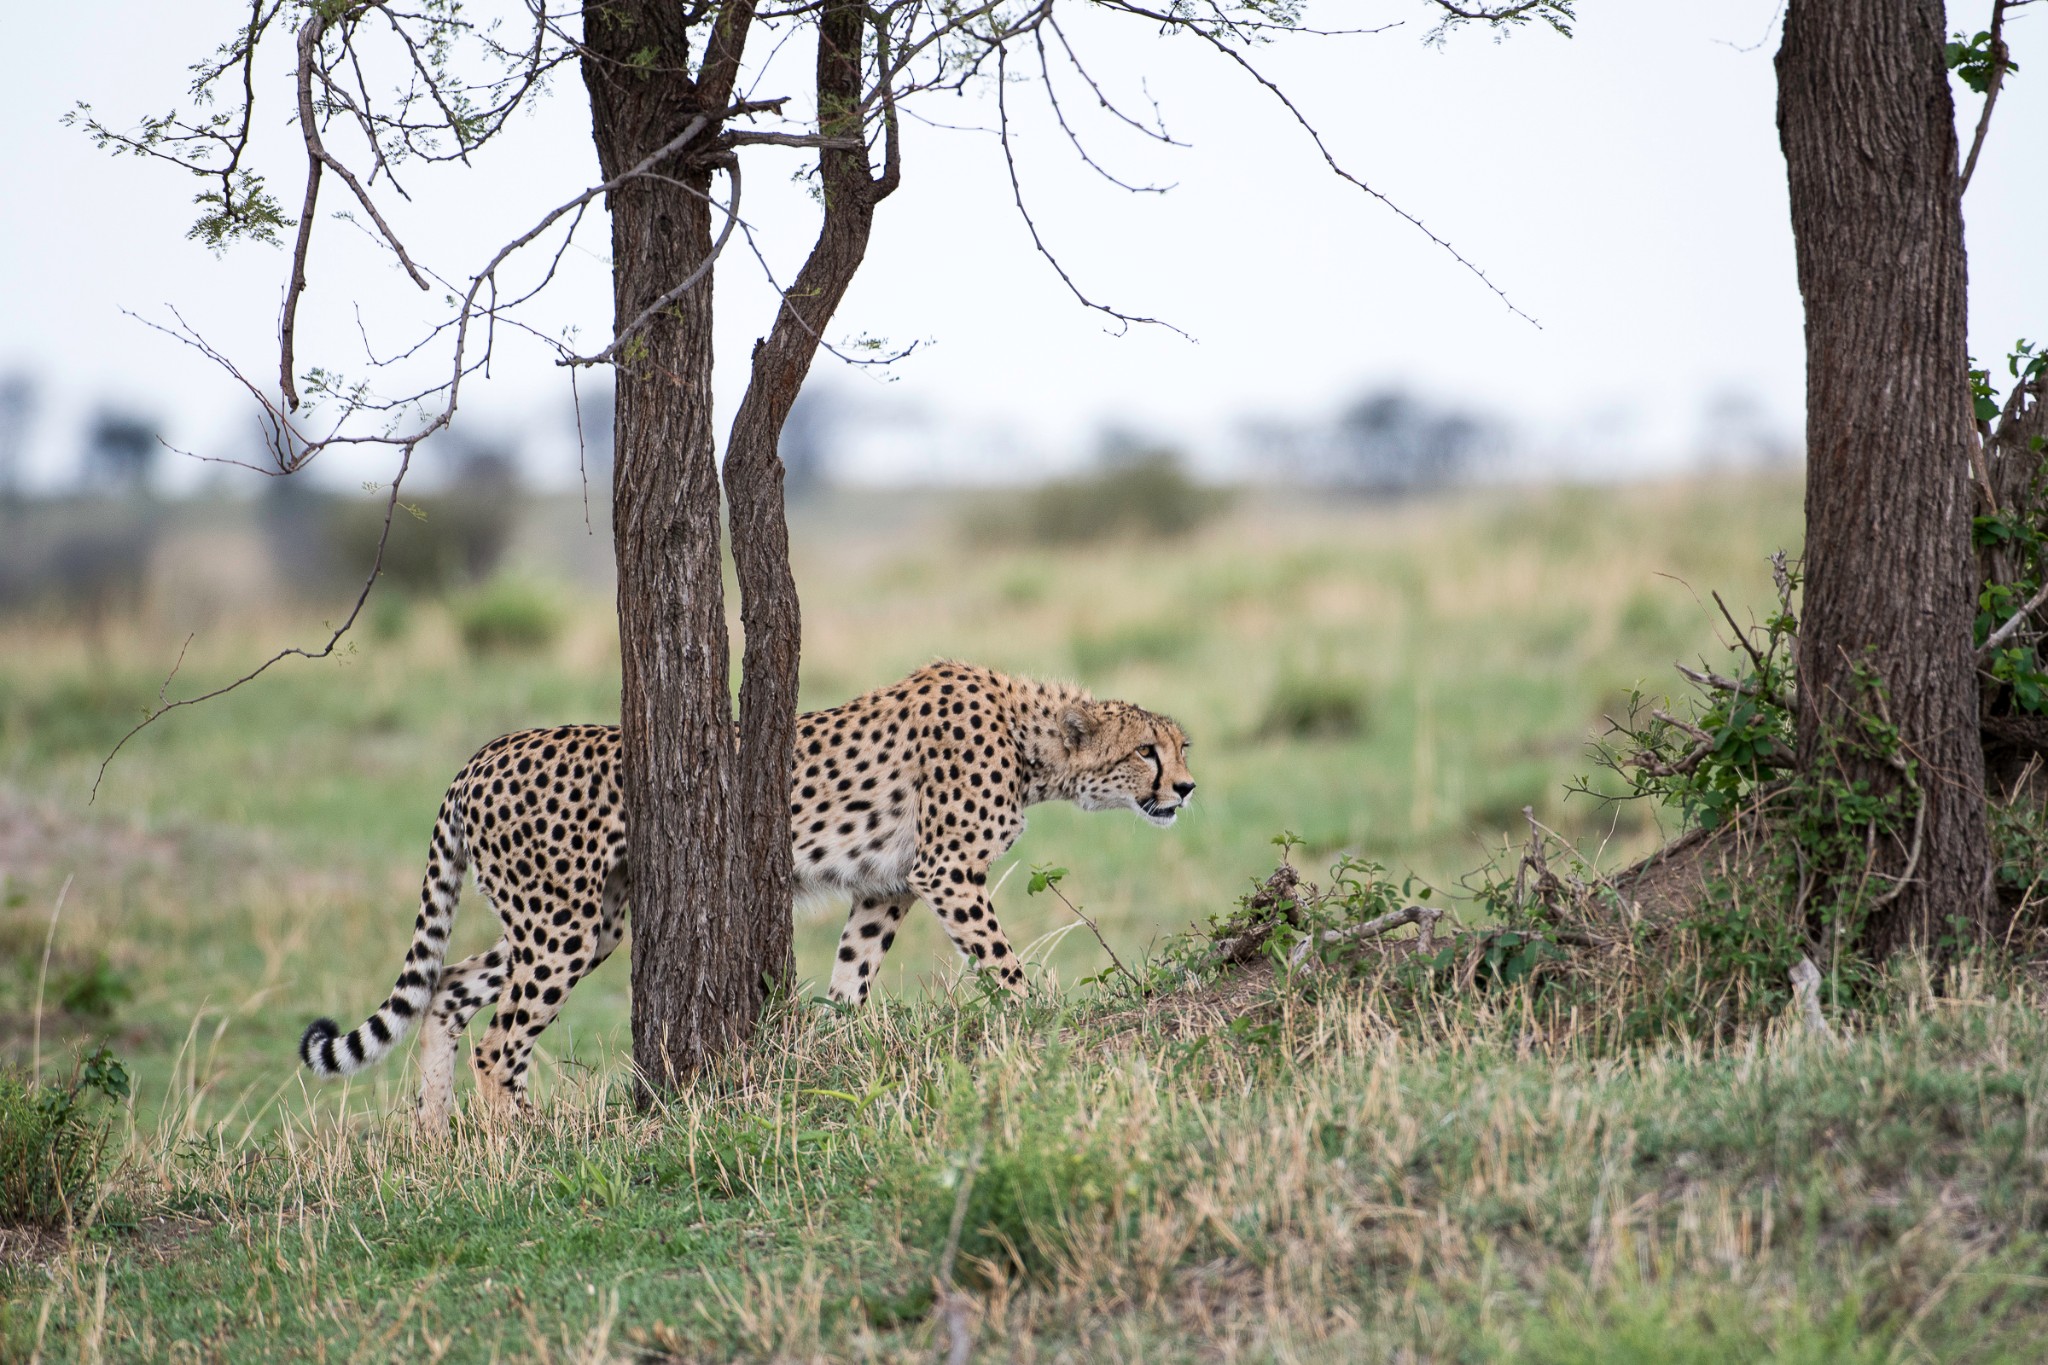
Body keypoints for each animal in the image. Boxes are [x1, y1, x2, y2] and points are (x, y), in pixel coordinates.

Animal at [303, 663, 1196, 1129]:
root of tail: (480, 757)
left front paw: (830, 1056)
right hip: (562, 923)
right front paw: (1043, 1023)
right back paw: (518, 1142)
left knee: (449, 987)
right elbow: (1006, 969)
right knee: (499, 1038)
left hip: (587, 923)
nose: (1186, 788)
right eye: (1148, 752)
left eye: (1182, 747)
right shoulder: (947, 873)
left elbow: (849, 983)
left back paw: (438, 1138)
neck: (1032, 738)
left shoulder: (886, 887)